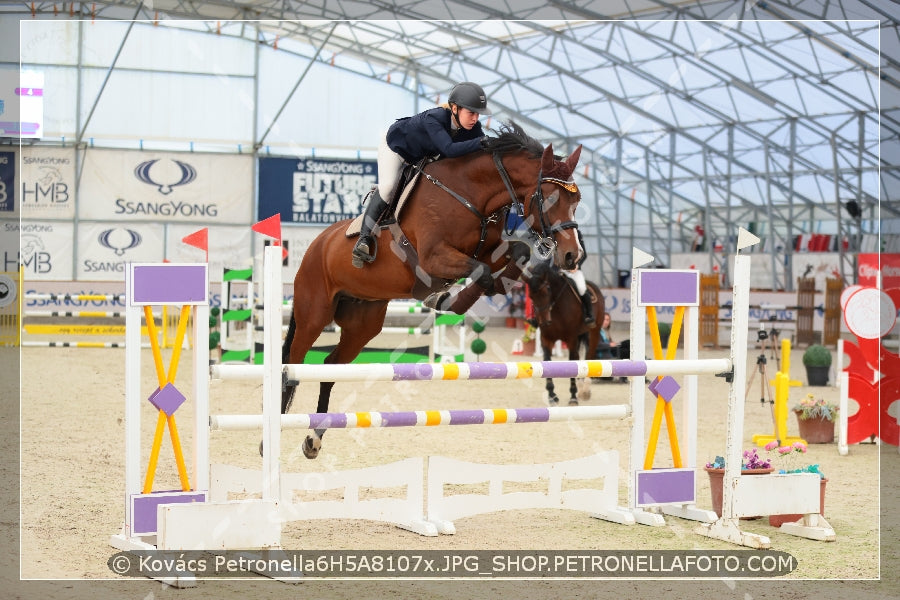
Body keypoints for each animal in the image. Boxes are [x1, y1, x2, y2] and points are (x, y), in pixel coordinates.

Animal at [284, 122, 588, 460]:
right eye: (549, 198)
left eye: (576, 200)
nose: (573, 256)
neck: (471, 194)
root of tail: (317, 244)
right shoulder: (434, 257)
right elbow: (482, 274)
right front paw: (443, 295)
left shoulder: (490, 250)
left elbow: (514, 254)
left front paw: (462, 292)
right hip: (314, 315)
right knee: (292, 366)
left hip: (362, 323)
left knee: (329, 367)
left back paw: (313, 437)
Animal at [520, 255, 604, 406]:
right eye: (531, 297)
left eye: (547, 290)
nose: (544, 321)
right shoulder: (546, 338)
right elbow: (547, 362)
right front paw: (552, 396)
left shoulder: (571, 339)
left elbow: (572, 363)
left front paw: (573, 397)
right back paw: (581, 389)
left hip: (594, 332)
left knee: (589, 356)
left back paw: (585, 391)